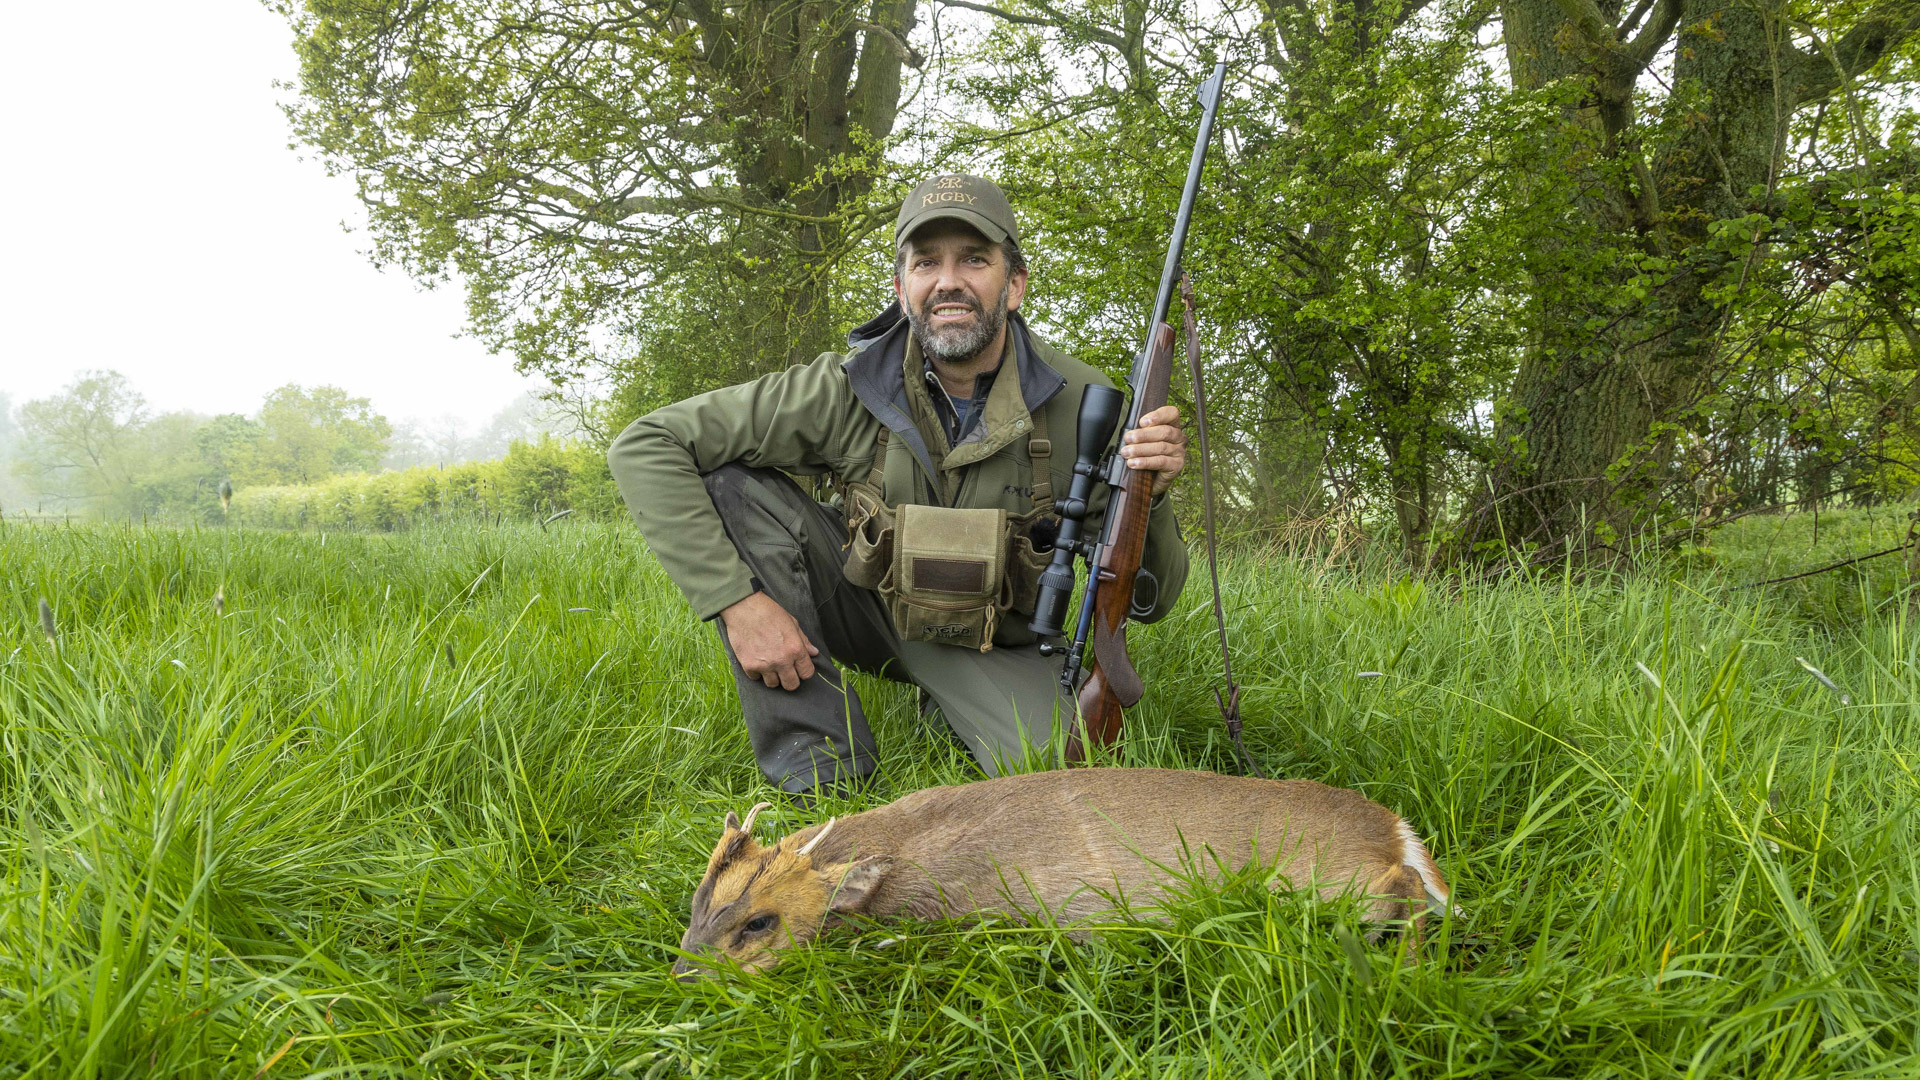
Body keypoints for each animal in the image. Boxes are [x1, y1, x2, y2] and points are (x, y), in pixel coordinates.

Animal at [668, 764, 1443, 976]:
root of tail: (1394, 829)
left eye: (760, 923)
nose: (684, 977)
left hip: (1330, 883)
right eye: (696, 905)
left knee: (1406, 892)